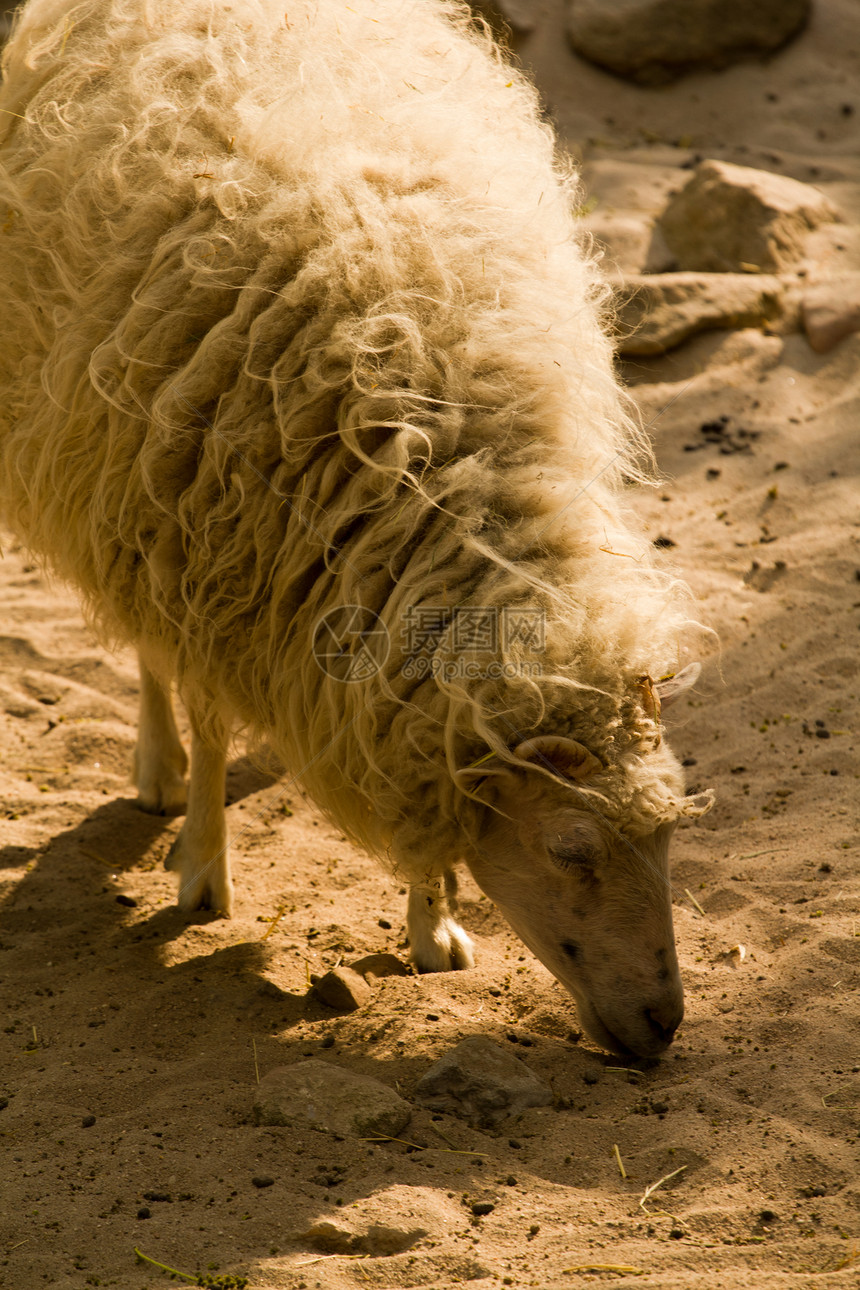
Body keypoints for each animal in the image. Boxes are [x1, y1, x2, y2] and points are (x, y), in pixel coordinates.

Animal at [0, 0, 711, 1057]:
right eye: (571, 847)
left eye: (667, 833)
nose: (664, 1024)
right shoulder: (206, 551)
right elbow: (208, 713)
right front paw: (203, 865)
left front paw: (432, 919)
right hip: (117, 479)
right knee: (152, 658)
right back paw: (160, 769)